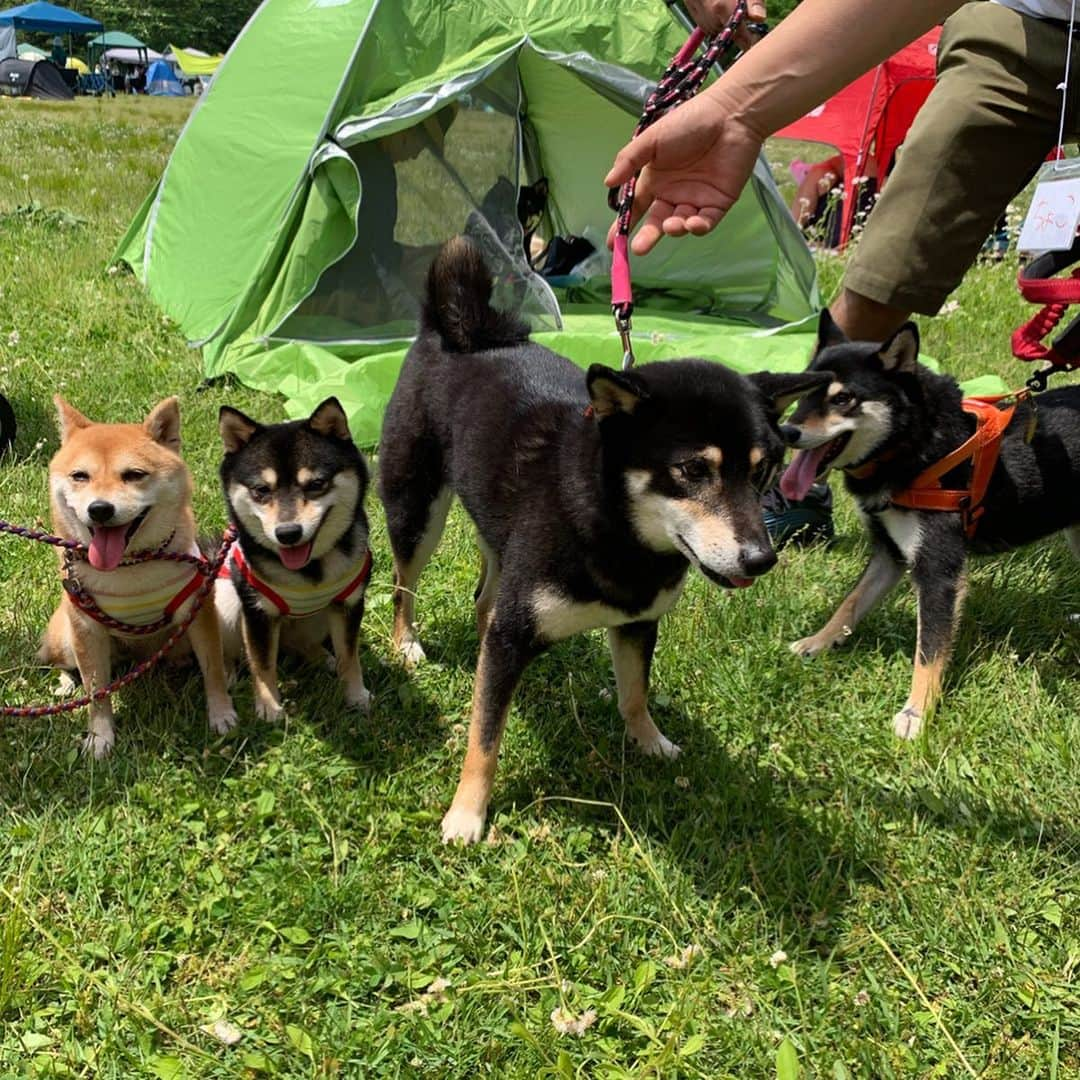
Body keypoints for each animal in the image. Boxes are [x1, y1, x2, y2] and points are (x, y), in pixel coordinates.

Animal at [214, 401, 375, 721]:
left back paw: (323, 657)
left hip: (318, 618)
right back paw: (225, 672)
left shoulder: (348, 604)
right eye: (261, 490)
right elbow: (262, 663)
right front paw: (268, 706)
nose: (288, 533)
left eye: (316, 484)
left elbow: (350, 655)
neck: (308, 570)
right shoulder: (258, 612)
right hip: (224, 599)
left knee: (302, 644)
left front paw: (356, 695)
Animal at [378, 238, 825, 842]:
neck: (618, 536)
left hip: (497, 528)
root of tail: (454, 330)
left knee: (484, 601)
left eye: (763, 471)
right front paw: (467, 815)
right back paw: (406, 643)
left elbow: (634, 693)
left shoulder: (638, 622)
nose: (761, 559)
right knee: (404, 585)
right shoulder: (516, 631)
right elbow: (484, 739)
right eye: (692, 470)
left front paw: (649, 741)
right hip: (417, 511)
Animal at [777, 308, 1080, 738]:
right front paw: (818, 642)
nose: (786, 431)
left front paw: (916, 713)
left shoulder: (938, 570)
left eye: (843, 398)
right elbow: (851, 603)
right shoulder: (889, 553)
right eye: (805, 391)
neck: (916, 444)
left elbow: (929, 651)